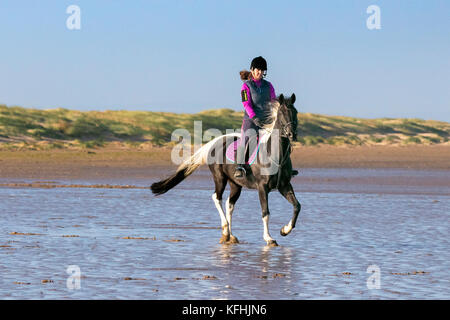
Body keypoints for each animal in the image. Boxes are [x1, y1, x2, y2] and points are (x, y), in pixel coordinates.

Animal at [151, 94, 302, 246]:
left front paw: (285, 230)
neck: (275, 154)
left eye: (295, 112)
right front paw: (269, 238)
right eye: (281, 113)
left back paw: (231, 235)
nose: (291, 134)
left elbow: (297, 206)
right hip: (220, 178)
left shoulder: (284, 186)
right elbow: (265, 213)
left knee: (229, 204)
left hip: (235, 184)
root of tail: (215, 142)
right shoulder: (262, 187)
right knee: (217, 198)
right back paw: (225, 232)